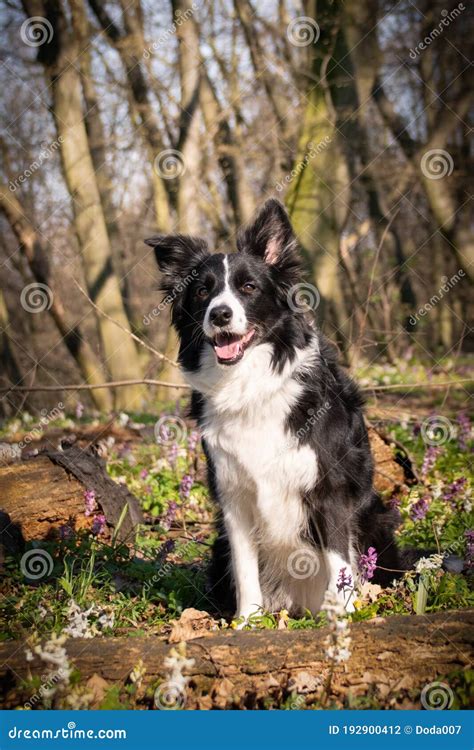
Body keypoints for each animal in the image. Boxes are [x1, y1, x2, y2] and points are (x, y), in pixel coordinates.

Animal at [146, 198, 402, 624]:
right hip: (217, 547)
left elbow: (339, 561)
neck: (248, 384)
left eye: (248, 288)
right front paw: (247, 621)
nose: (219, 314)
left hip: (376, 519)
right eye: (202, 291)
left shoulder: (328, 490)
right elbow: (246, 566)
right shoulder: (234, 497)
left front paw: (343, 616)